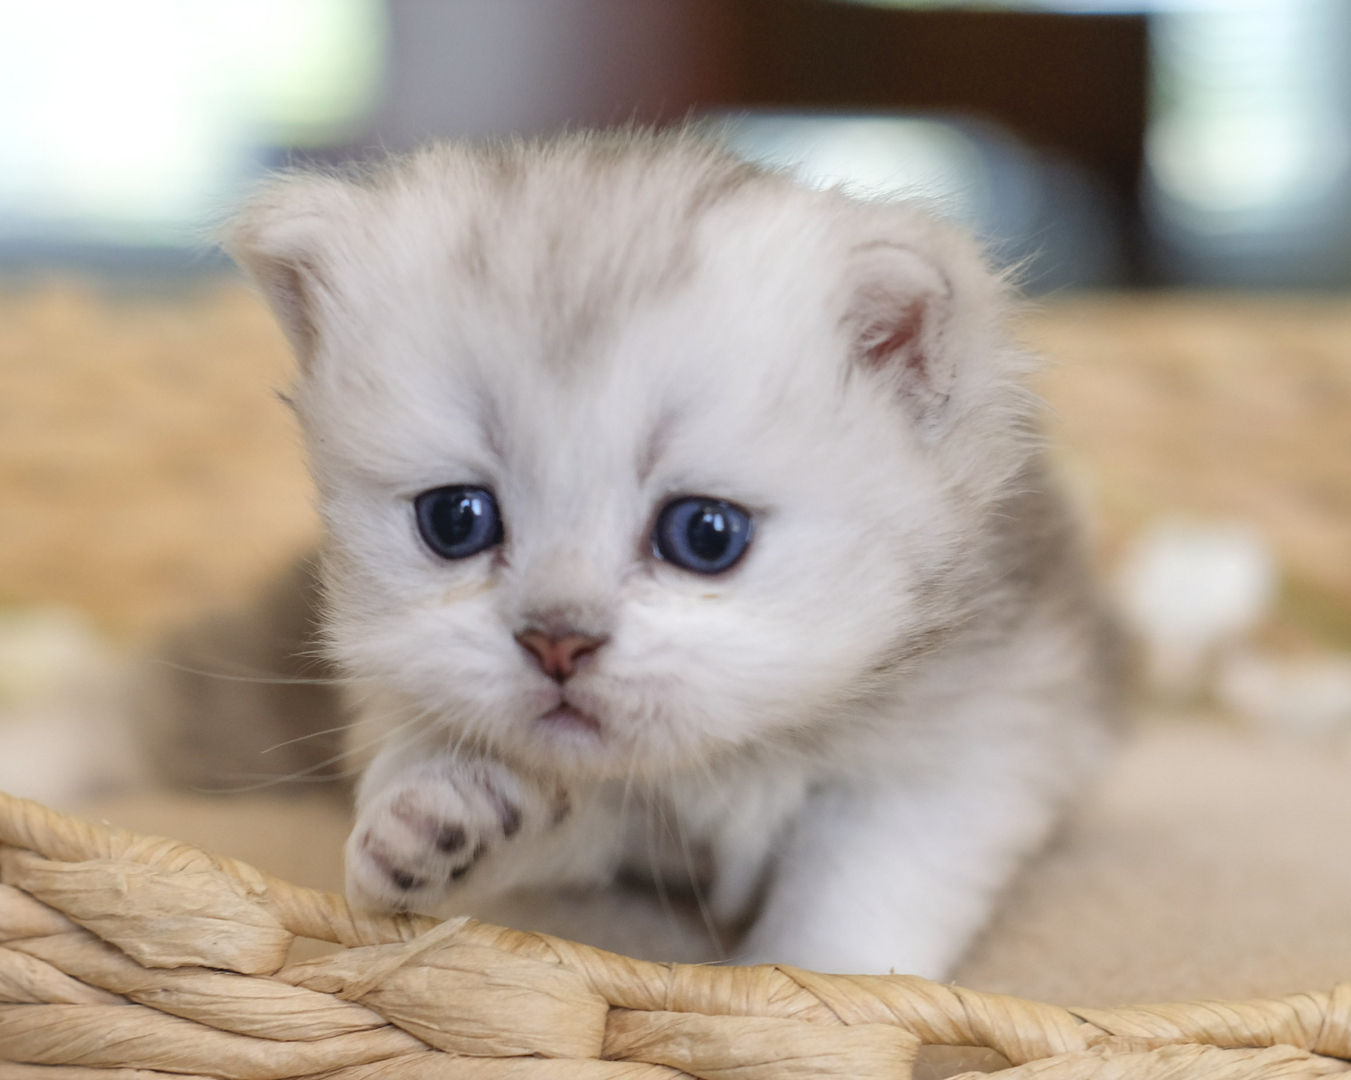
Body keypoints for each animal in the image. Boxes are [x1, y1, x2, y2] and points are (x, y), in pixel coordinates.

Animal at [224, 129, 1118, 978]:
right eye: (455, 520)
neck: (724, 757)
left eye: (705, 534)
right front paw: (439, 817)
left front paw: (819, 989)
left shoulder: (966, 747)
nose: (557, 643)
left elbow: (860, 894)